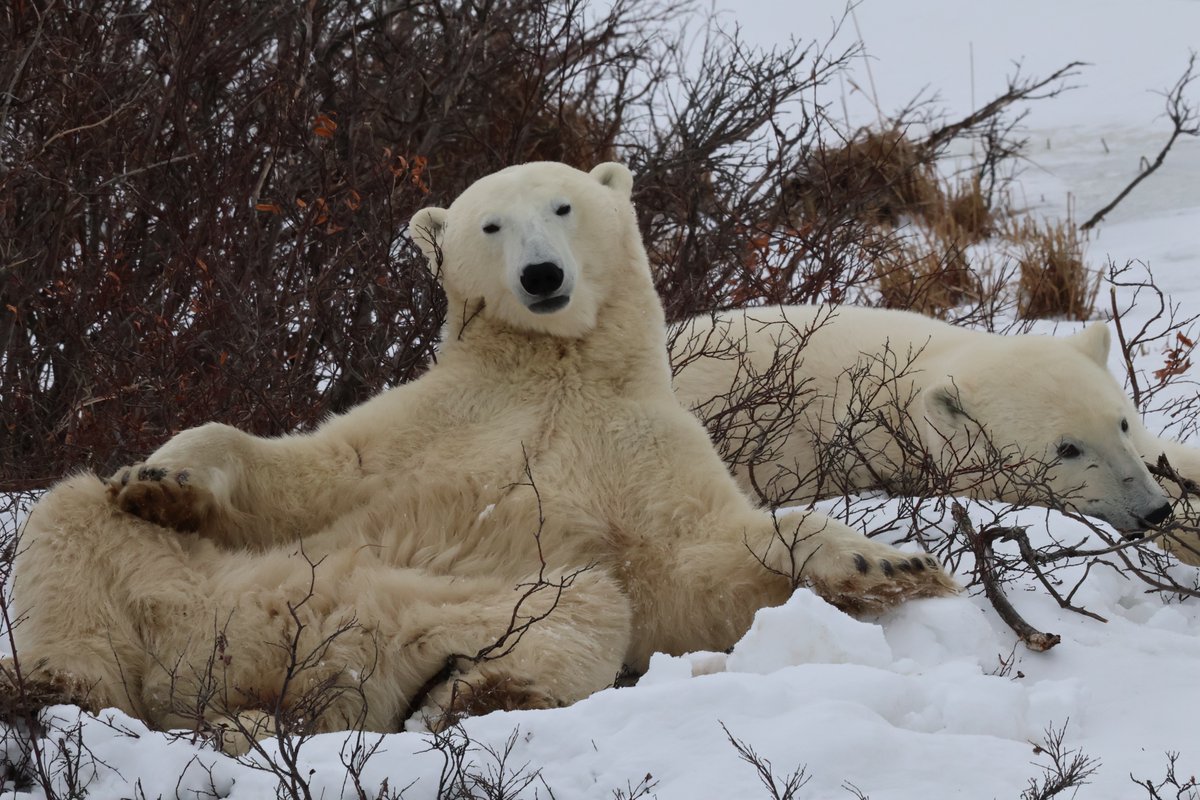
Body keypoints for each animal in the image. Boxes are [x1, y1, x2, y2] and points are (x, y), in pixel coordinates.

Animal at [5, 164, 957, 751]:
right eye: (491, 224)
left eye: (564, 207)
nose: (540, 276)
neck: (554, 372)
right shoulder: (431, 424)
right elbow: (304, 470)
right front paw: (159, 480)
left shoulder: (636, 453)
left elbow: (692, 574)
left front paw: (892, 564)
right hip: (202, 594)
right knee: (70, 521)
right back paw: (56, 689)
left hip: (433, 621)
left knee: (583, 608)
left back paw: (470, 693)